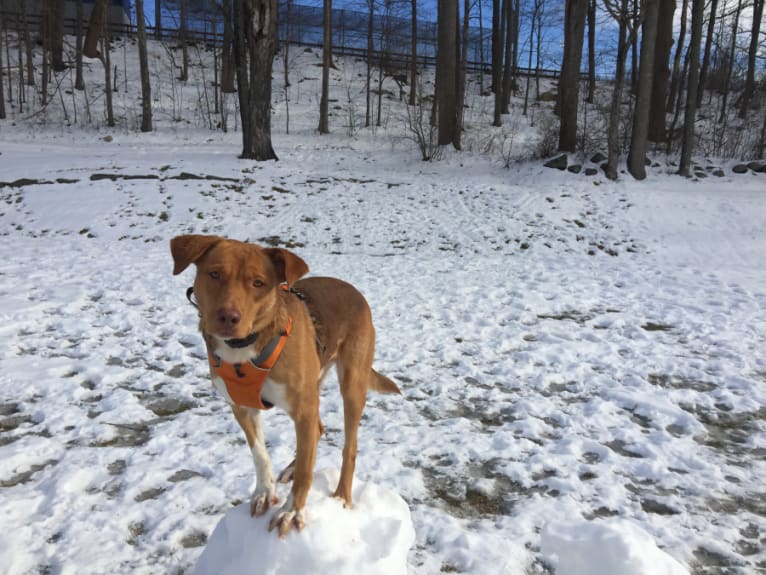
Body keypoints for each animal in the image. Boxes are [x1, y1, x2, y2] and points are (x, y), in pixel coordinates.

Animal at [170, 233, 400, 536]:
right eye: (215, 274)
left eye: (258, 283)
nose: (228, 317)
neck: (244, 349)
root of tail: (354, 291)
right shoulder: (241, 407)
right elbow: (260, 454)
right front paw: (264, 493)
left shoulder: (303, 408)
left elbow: (306, 471)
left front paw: (292, 511)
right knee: (317, 429)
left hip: (352, 383)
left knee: (348, 448)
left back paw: (342, 496)